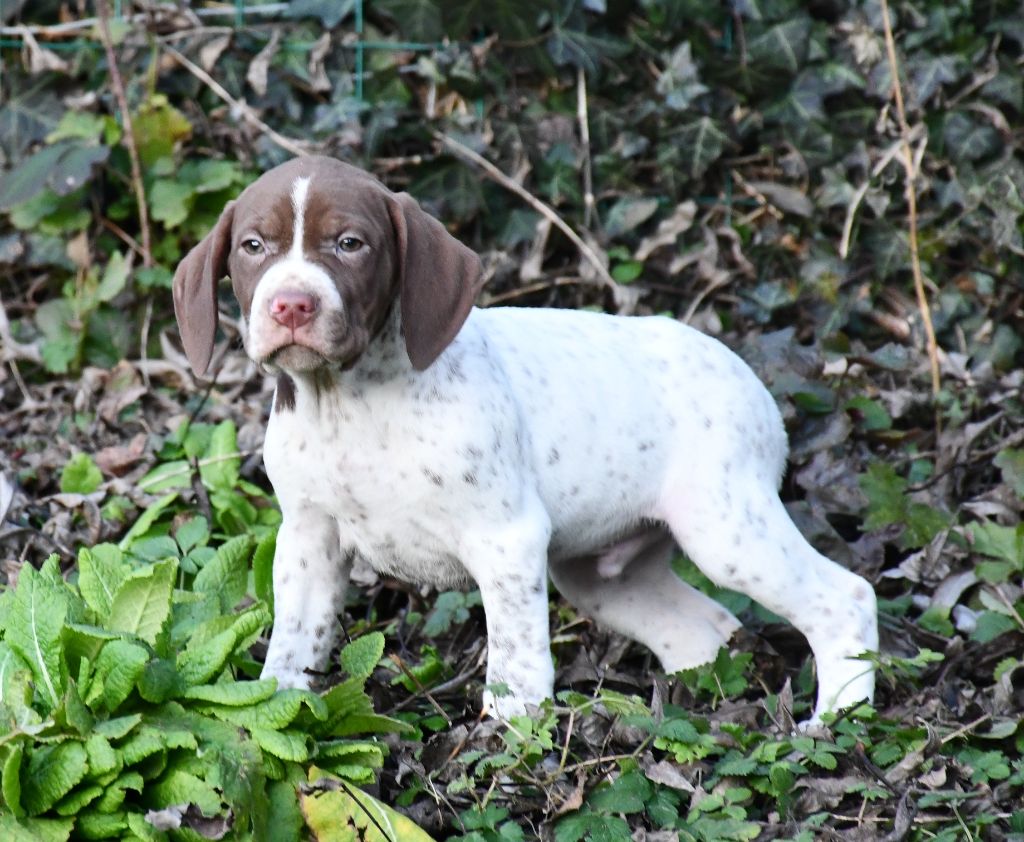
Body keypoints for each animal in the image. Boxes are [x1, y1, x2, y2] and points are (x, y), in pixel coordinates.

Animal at [172, 154, 876, 721]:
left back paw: (835, 721)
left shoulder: (506, 539)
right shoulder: (309, 537)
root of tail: (753, 383)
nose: (291, 305)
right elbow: (294, 641)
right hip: (603, 573)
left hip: (725, 526)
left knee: (844, 598)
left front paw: (508, 741)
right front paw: (278, 711)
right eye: (253, 246)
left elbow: (514, 659)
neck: (350, 404)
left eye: (350, 243)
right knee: (702, 628)